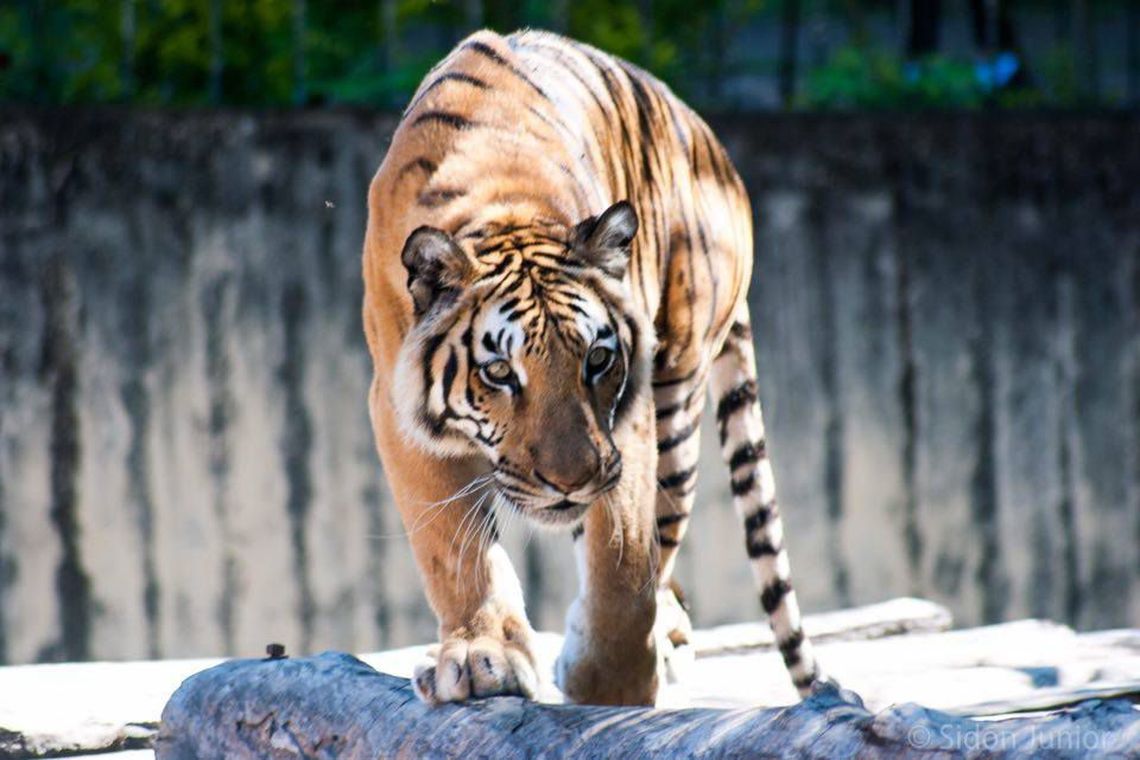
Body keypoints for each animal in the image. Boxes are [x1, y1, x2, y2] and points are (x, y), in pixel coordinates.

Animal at [362, 28, 822, 706]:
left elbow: (624, 561)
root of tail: (718, 154)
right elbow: (452, 546)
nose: (570, 482)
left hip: (678, 397)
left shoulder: (627, 423)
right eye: (500, 373)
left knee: (664, 541)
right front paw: (481, 658)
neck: (500, 205)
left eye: (597, 360)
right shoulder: (400, 410)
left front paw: (611, 686)